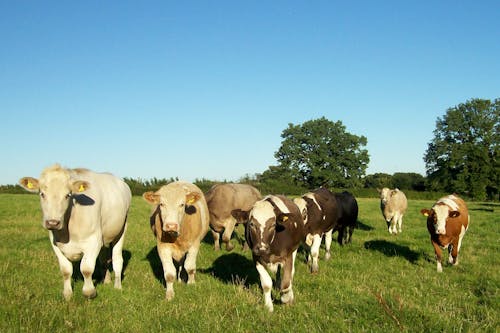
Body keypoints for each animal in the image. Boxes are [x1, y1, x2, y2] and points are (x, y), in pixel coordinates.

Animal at [19, 163, 131, 298]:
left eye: (68, 195)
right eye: (42, 194)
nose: (53, 222)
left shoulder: (93, 241)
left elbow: (86, 269)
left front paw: (89, 292)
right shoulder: (55, 244)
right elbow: (66, 270)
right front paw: (67, 293)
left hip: (121, 229)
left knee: (117, 259)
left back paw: (117, 286)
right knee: (104, 259)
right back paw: (107, 280)